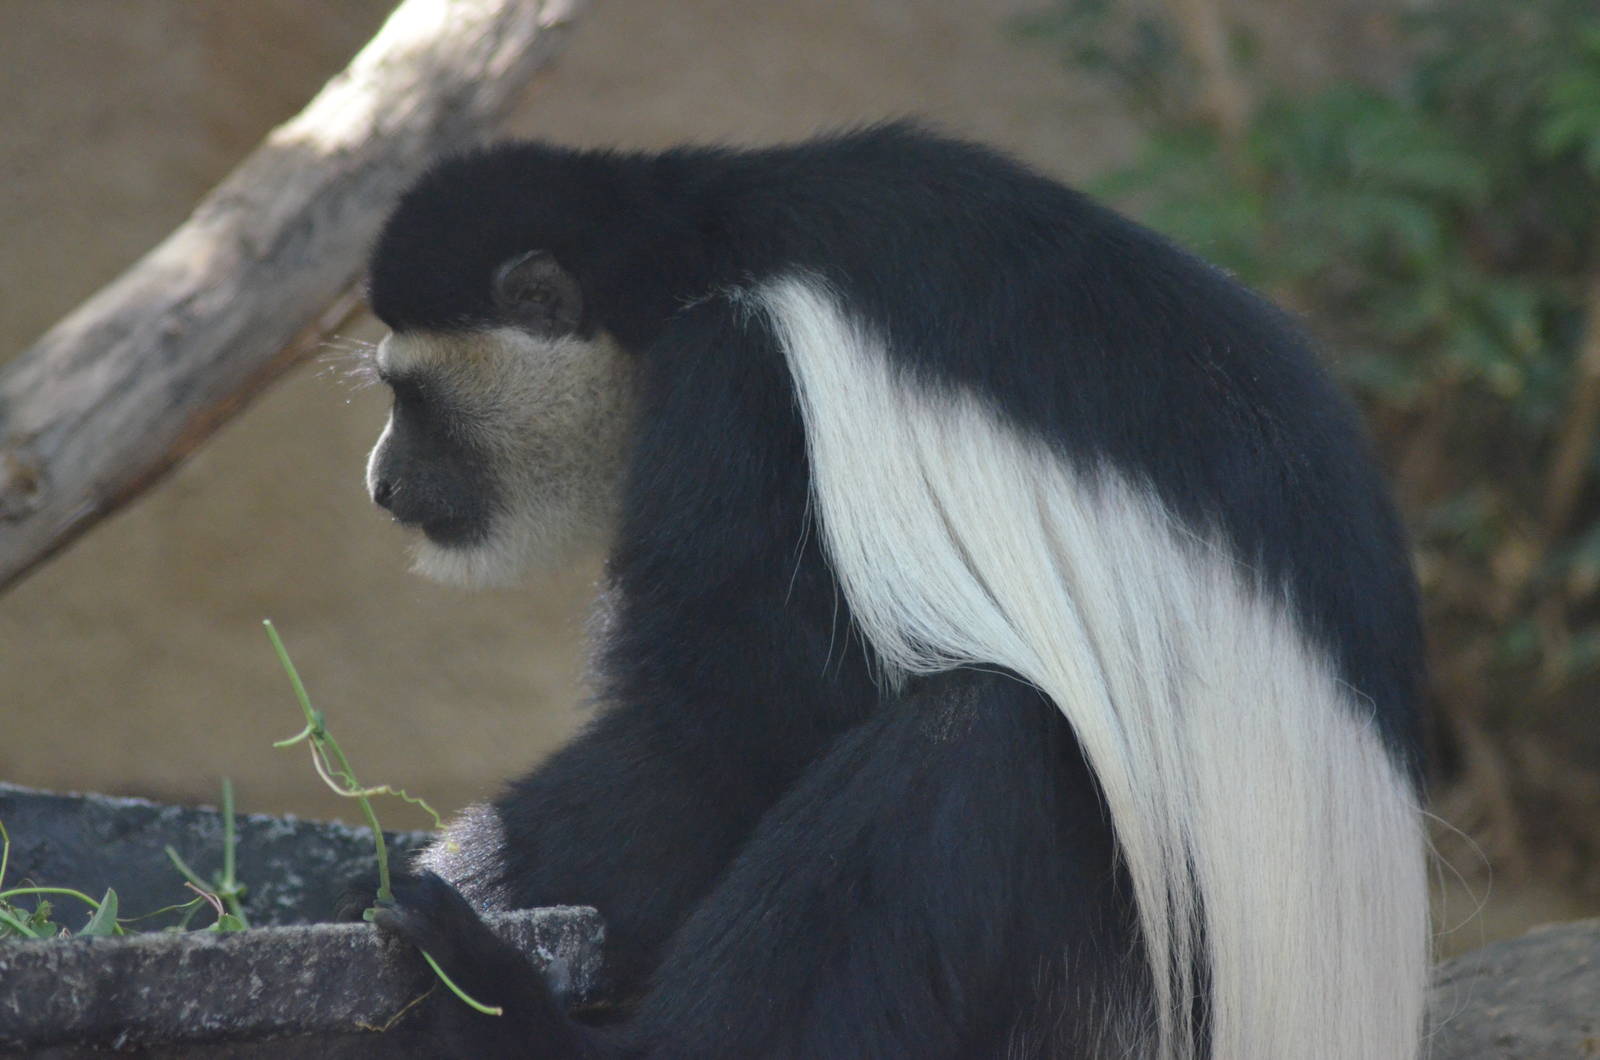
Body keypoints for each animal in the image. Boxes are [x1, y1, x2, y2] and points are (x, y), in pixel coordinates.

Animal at [357, 123, 1429, 1058]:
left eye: (412, 396)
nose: (383, 485)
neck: (699, 254)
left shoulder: (743, 378)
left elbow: (724, 733)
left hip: (1125, 971)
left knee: (977, 738)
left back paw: (510, 1015)